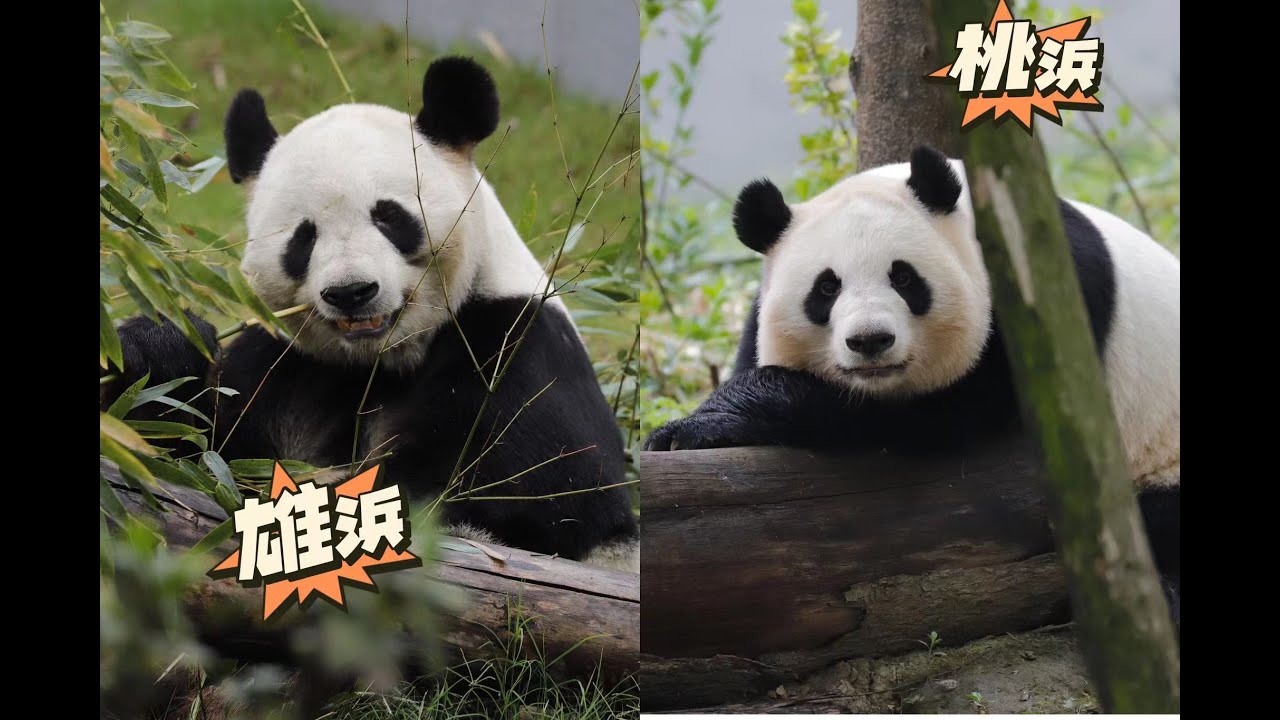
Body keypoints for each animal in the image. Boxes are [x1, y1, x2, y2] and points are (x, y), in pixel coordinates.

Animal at [102, 56, 638, 573]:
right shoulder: (286, 365)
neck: (382, 360)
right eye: (304, 237)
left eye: (390, 217)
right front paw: (160, 347)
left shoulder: (513, 348)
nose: (351, 292)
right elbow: (185, 448)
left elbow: (536, 497)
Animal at [645, 145, 1179, 622]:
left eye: (903, 278)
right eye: (826, 287)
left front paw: (707, 422)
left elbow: (942, 415)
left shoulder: (1046, 303)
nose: (870, 341)